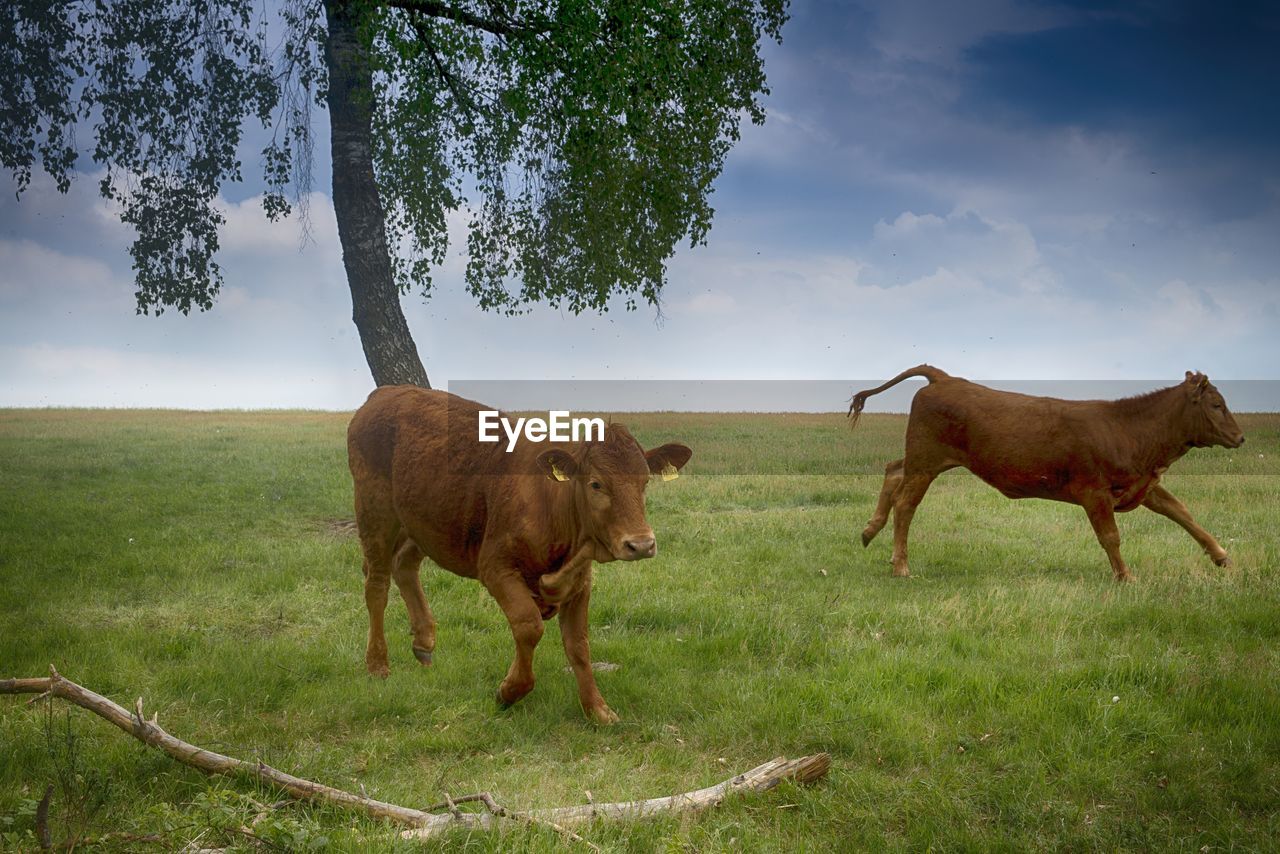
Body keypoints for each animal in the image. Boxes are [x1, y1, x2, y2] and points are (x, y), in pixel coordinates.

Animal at [348, 386, 691, 722]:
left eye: (645, 482)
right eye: (596, 484)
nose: (642, 544)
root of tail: (385, 393)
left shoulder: (580, 582)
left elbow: (579, 645)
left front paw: (597, 709)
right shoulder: (496, 567)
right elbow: (529, 626)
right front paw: (509, 691)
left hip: (422, 523)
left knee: (404, 565)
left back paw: (423, 642)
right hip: (375, 510)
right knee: (377, 583)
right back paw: (377, 664)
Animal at [855, 368, 1244, 581]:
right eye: (1216, 404)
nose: (1240, 437)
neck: (1128, 428)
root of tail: (944, 377)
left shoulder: (1144, 485)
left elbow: (1183, 514)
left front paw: (1222, 557)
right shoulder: (1094, 492)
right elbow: (1111, 537)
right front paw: (1125, 576)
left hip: (922, 460)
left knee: (893, 472)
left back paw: (869, 530)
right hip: (926, 461)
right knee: (906, 504)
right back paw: (900, 565)